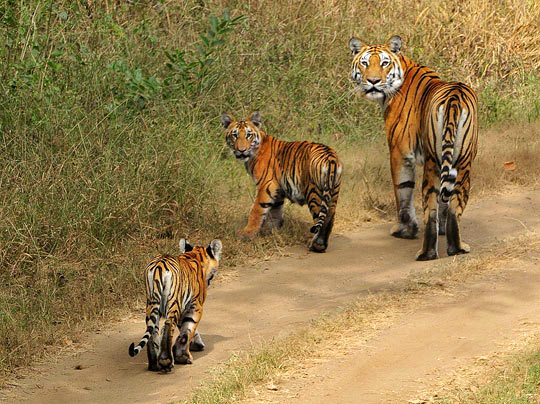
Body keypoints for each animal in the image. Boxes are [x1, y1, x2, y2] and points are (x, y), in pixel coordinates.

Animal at [129, 238, 221, 370]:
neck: (195, 255)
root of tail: (158, 266)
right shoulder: (195, 306)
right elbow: (188, 330)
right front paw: (183, 356)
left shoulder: (185, 308)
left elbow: (186, 330)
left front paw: (195, 344)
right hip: (173, 302)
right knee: (168, 325)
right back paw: (166, 360)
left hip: (151, 304)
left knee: (152, 329)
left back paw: (154, 364)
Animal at [220, 111, 342, 252]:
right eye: (235, 135)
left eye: (248, 135)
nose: (241, 150)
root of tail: (330, 157)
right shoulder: (277, 189)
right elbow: (275, 212)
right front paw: (271, 232)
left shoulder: (266, 184)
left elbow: (256, 210)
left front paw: (247, 233)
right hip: (333, 192)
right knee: (330, 216)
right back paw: (321, 244)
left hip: (314, 192)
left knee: (320, 218)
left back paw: (316, 245)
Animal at [350, 36, 476, 260]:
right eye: (364, 63)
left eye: (384, 63)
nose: (373, 81)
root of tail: (455, 97)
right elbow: (445, 203)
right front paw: (442, 229)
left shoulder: (399, 152)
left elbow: (402, 191)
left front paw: (405, 230)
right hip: (463, 161)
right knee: (454, 205)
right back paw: (457, 248)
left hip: (433, 163)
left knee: (430, 209)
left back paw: (427, 253)